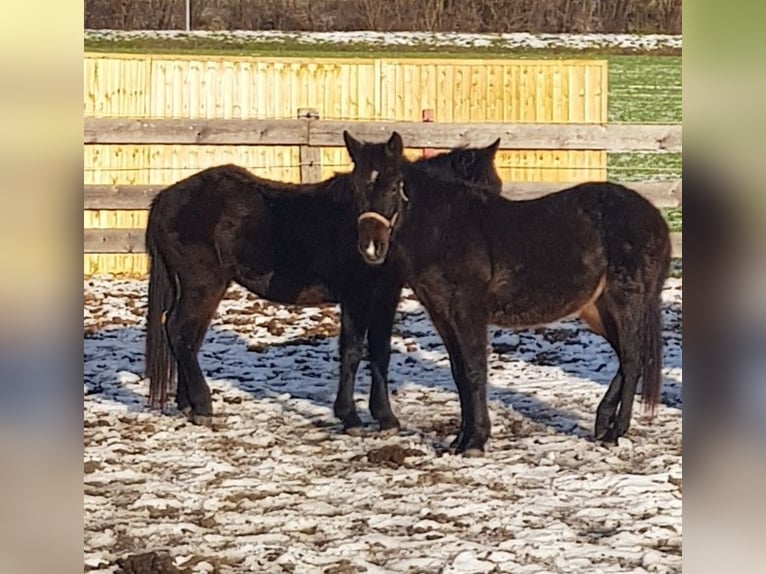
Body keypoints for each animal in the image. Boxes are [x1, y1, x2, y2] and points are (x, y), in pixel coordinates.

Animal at [145, 135, 508, 434]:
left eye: (496, 188)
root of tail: (165, 198)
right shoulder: (357, 296)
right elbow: (352, 351)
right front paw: (351, 418)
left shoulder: (385, 297)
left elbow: (380, 352)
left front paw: (385, 418)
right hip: (202, 284)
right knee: (179, 330)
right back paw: (203, 405)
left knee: (187, 336)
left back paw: (188, 404)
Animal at [348, 129, 672, 454]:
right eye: (357, 187)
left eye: (393, 187)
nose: (371, 247)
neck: (445, 229)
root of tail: (654, 217)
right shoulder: (441, 314)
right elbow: (459, 373)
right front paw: (460, 440)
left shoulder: (468, 311)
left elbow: (474, 370)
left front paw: (475, 440)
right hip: (598, 310)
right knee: (628, 358)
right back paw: (603, 422)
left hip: (625, 302)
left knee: (632, 360)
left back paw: (615, 432)